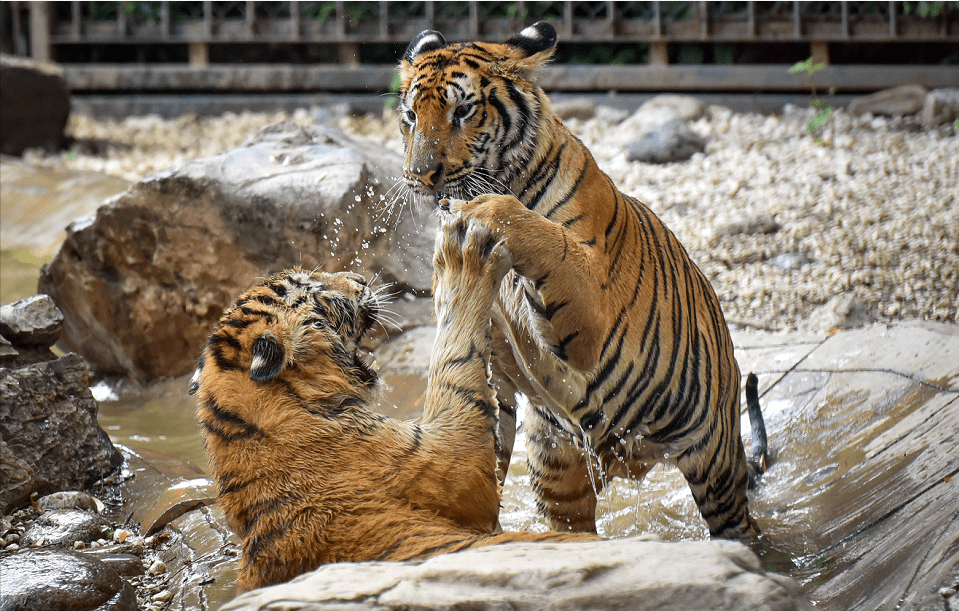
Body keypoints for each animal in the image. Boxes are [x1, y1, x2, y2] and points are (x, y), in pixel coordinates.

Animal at [394, 20, 768, 540]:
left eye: (462, 111)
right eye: (411, 116)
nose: (420, 176)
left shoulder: (591, 306)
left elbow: (542, 235)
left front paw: (484, 214)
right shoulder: (493, 358)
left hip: (715, 462)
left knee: (739, 524)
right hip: (557, 464)